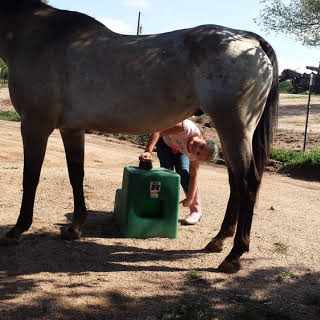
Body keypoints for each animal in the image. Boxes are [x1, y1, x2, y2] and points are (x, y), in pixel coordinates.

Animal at [0, 1, 278, 274]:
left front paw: (17, 230)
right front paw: (75, 227)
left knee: (248, 183)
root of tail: (249, 39)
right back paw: (219, 240)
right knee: (235, 181)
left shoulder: (35, 125)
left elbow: (31, 177)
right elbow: (76, 174)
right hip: (231, 132)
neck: (40, 35)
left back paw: (234, 255)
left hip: (234, 128)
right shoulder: (72, 130)